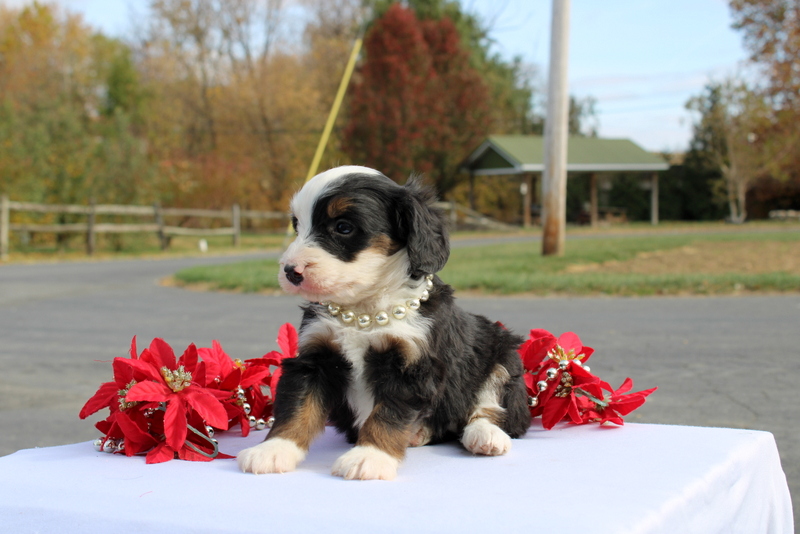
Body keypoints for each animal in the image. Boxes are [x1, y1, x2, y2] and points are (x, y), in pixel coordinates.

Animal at [238, 166, 532, 482]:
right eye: (296, 225)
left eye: (343, 227)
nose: (291, 271)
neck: (363, 311)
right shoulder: (314, 358)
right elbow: (297, 407)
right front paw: (272, 450)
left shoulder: (411, 366)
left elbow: (386, 415)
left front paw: (369, 457)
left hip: (502, 355)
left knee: (491, 409)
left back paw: (485, 437)